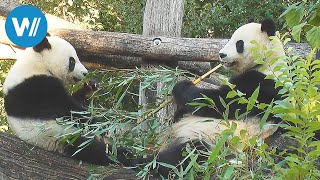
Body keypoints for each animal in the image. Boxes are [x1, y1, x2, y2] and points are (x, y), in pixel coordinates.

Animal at [131, 18, 288, 177]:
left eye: (239, 43)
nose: (221, 54)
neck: (269, 61)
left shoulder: (259, 85)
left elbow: (218, 103)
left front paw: (181, 85)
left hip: (215, 144)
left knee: (186, 155)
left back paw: (134, 161)